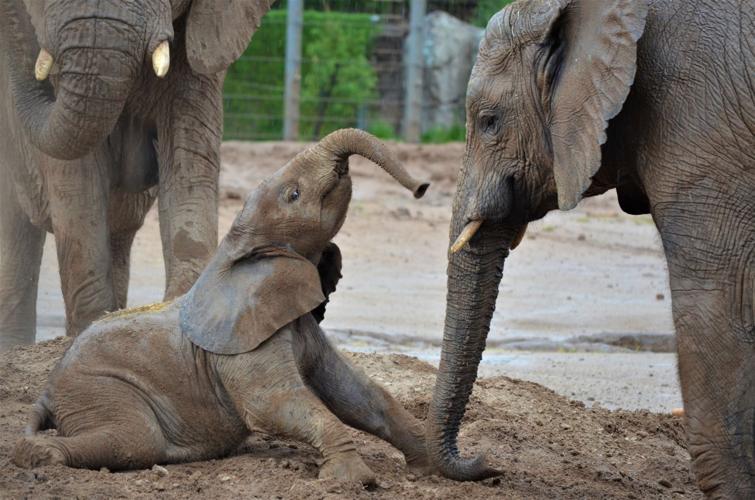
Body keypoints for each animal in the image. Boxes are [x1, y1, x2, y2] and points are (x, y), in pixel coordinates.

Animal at [12, 129, 432, 484]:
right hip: (97, 388)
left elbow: (356, 394)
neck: (236, 249)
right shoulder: (244, 346)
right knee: (135, 438)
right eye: (294, 195)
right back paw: (36, 456)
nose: (422, 188)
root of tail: (48, 391)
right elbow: (272, 404)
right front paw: (354, 481)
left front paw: (433, 465)